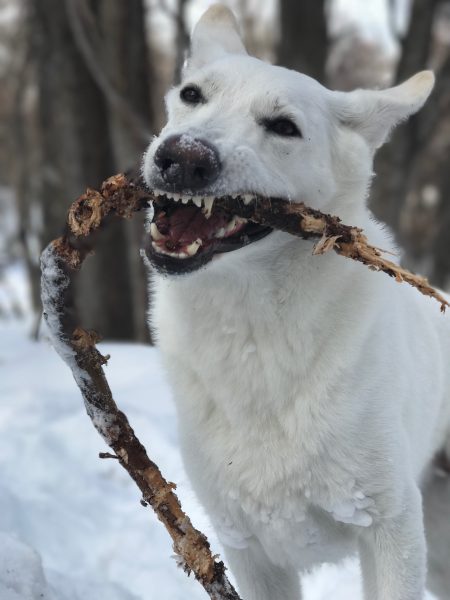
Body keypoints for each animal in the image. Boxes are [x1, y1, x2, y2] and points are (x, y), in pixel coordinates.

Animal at [142, 5, 448, 600]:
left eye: (284, 127)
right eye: (192, 95)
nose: (183, 158)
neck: (253, 332)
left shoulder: (390, 525)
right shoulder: (248, 548)